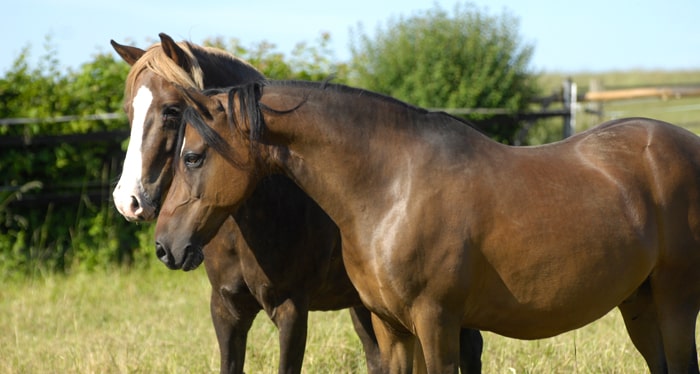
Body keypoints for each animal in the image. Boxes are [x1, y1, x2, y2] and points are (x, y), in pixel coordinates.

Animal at [157, 80, 700, 372]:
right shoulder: (392, 327)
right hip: (640, 304)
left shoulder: (437, 322)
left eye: (192, 156)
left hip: (676, 302)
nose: (165, 246)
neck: (393, 187)